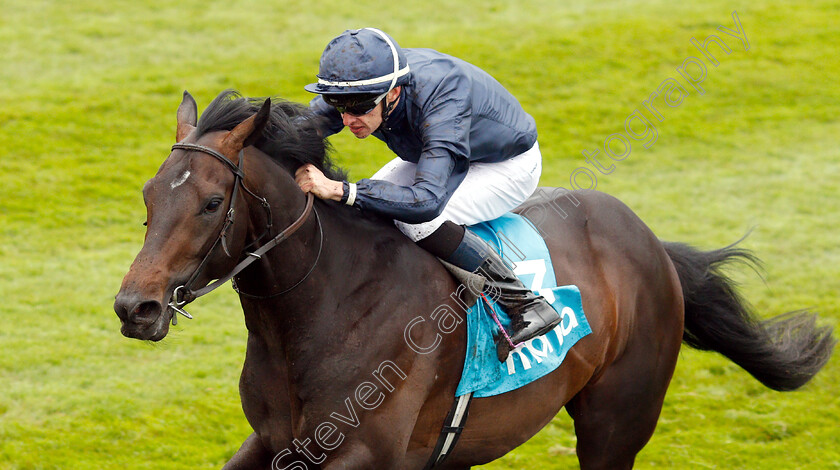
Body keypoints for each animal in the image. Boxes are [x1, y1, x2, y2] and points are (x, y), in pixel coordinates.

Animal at [111, 90, 832, 468]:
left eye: (211, 203)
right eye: (148, 196)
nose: (134, 307)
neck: (324, 304)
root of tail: (650, 242)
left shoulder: (367, 455)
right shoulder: (274, 442)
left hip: (617, 419)